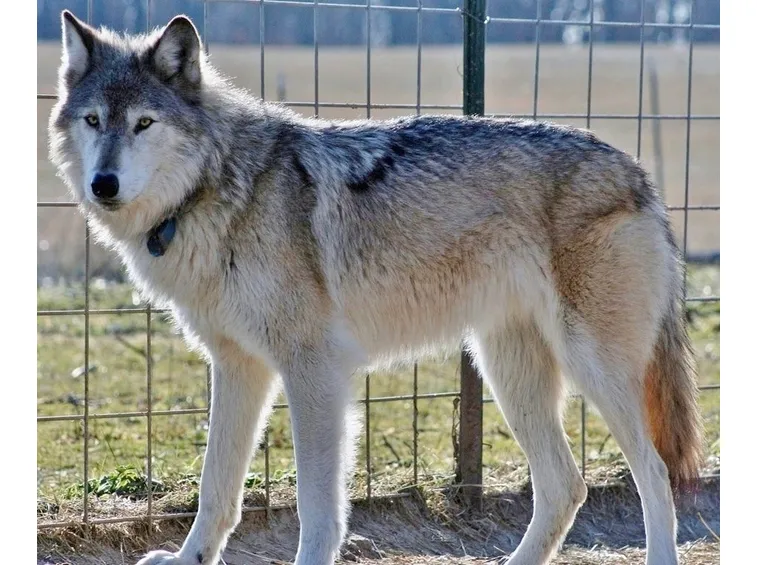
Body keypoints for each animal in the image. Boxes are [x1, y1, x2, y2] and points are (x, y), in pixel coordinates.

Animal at [48, 10, 704, 565]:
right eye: (94, 121)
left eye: (143, 124)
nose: (103, 184)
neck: (221, 190)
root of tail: (639, 174)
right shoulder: (237, 367)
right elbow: (217, 488)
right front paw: (189, 559)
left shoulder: (313, 370)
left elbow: (317, 505)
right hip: (508, 373)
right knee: (567, 485)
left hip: (591, 368)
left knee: (653, 474)